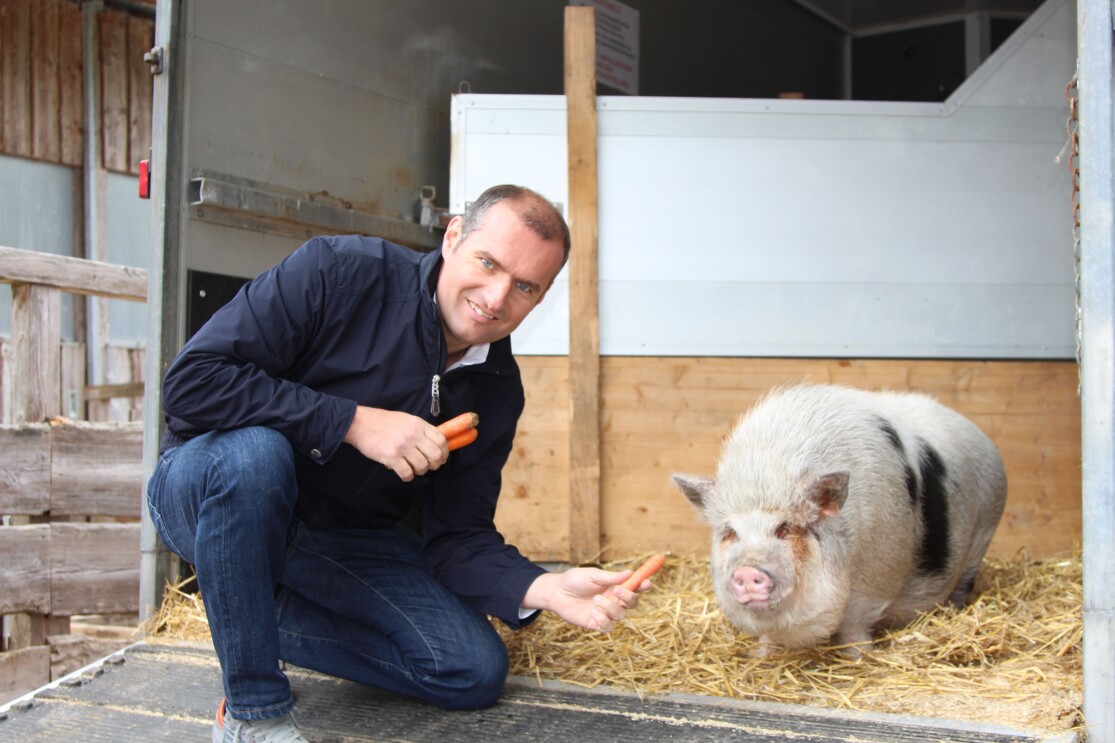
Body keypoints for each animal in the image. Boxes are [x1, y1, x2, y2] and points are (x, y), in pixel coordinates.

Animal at [673, 381, 1007, 655]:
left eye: (785, 528)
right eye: (731, 532)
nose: (746, 570)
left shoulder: (875, 581)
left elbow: (854, 629)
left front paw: (858, 658)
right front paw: (760, 656)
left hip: (984, 532)